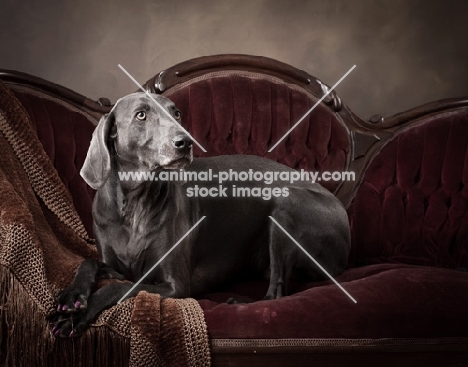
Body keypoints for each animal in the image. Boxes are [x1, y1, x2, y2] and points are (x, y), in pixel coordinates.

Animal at [52, 92, 352, 340]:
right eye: (141, 115)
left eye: (177, 113)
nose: (185, 142)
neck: (135, 205)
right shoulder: (114, 264)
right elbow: (89, 262)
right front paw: (71, 297)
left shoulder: (175, 285)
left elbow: (117, 288)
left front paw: (76, 316)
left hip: (287, 205)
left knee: (275, 293)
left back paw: (240, 302)